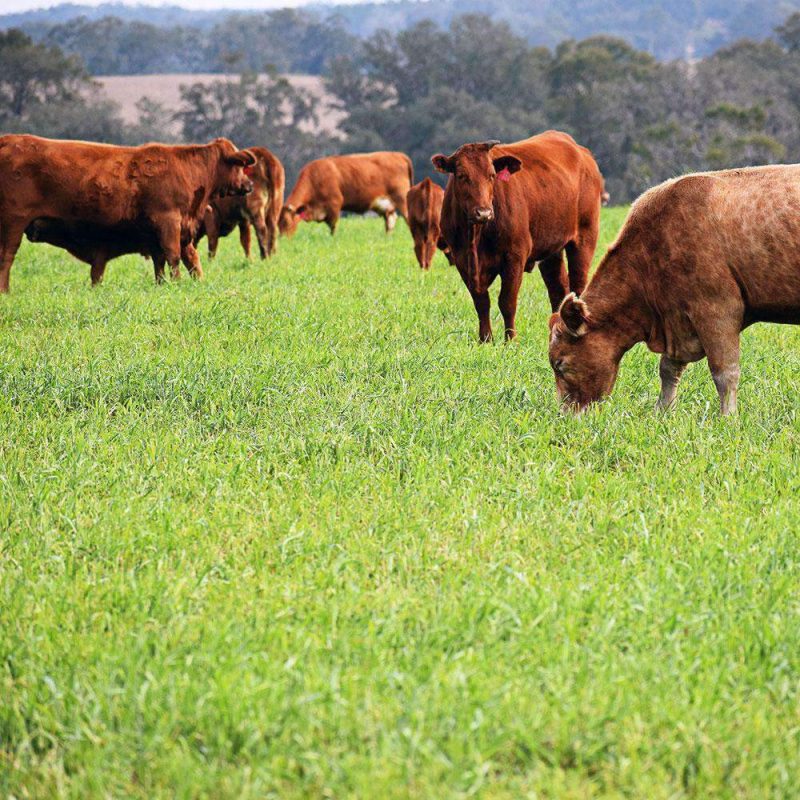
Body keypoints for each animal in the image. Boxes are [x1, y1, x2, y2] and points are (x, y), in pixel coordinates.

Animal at [0, 136, 256, 292]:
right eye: (240, 166)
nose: (250, 184)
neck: (189, 171)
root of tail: (9, 140)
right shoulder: (169, 222)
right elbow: (173, 256)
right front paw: (177, 283)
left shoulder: (172, 229)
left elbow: (180, 260)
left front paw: (170, 285)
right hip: (13, 224)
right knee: (6, 258)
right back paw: (6, 291)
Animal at [278, 151, 412, 236]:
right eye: (278, 223)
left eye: (286, 222)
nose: (283, 238)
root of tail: (398, 155)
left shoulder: (335, 203)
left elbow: (333, 226)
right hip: (386, 205)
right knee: (390, 220)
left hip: (402, 197)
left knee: (407, 217)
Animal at [434, 130, 604, 340]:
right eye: (461, 175)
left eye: (492, 175)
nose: (483, 212)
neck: (475, 236)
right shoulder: (462, 260)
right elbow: (481, 303)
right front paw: (485, 339)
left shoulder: (514, 256)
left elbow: (507, 302)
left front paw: (510, 340)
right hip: (551, 248)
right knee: (558, 289)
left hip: (584, 238)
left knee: (578, 285)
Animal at [548, 162, 800, 412]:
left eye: (560, 363)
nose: (564, 415)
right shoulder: (678, 318)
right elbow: (668, 369)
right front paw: (662, 410)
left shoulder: (717, 310)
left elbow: (725, 373)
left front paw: (728, 416)